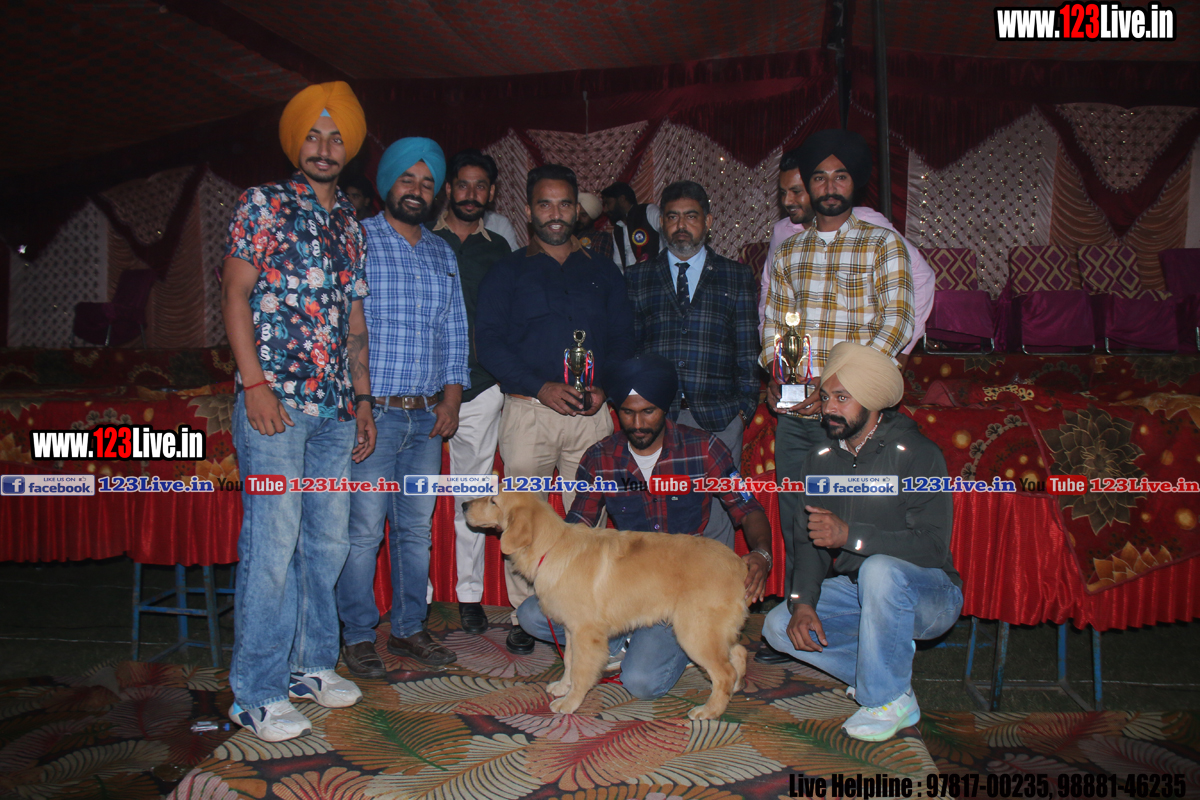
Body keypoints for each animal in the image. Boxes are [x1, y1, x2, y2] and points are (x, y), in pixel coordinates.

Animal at [464, 490, 748, 720]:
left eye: (493, 500)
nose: (464, 504)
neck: (552, 546)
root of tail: (738, 564)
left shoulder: (587, 633)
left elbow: (580, 671)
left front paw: (570, 702)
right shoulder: (571, 629)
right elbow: (569, 661)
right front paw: (563, 687)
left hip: (693, 632)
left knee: (724, 672)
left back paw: (710, 710)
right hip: (711, 631)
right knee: (738, 654)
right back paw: (732, 690)